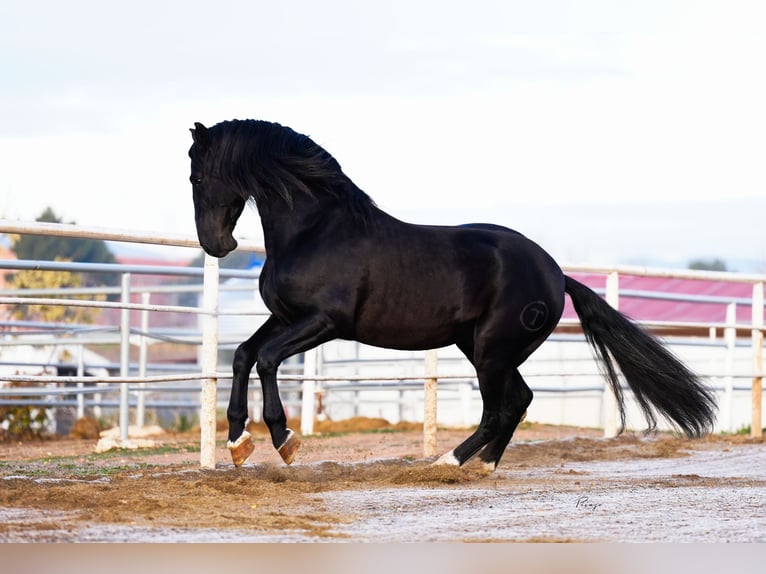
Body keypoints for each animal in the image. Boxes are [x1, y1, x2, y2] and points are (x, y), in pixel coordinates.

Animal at [188, 119, 717, 471]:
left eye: (197, 176)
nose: (218, 245)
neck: (316, 230)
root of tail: (557, 273)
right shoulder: (285, 316)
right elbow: (244, 354)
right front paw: (237, 443)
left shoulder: (324, 322)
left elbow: (267, 360)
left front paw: (284, 439)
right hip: (482, 346)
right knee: (519, 401)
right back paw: (483, 465)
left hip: (490, 350)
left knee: (500, 408)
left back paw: (450, 461)